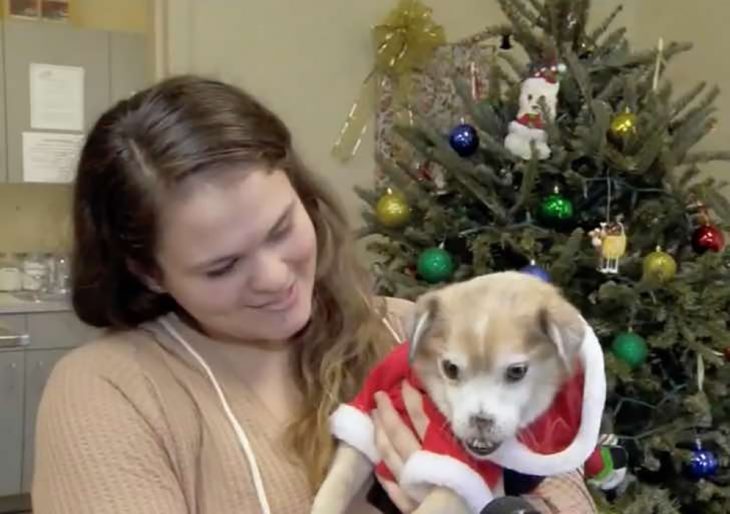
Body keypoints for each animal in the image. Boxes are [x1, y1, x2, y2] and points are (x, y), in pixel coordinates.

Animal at [312, 270, 604, 510]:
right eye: (450, 368)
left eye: (517, 371)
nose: (481, 420)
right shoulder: (368, 420)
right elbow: (337, 483)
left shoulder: (461, 477)